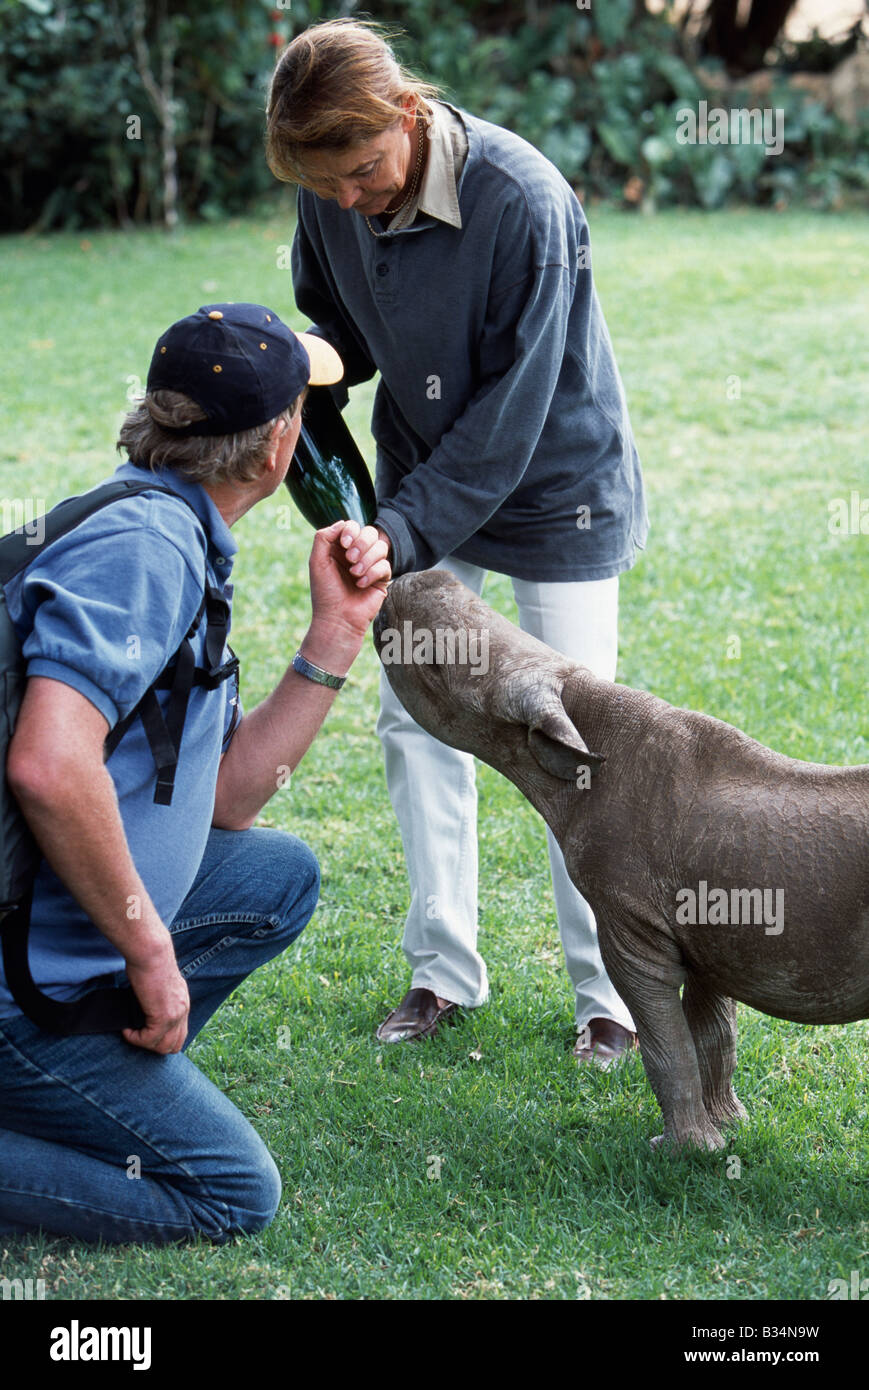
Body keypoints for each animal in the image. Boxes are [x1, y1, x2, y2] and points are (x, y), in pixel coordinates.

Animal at [375, 567, 867, 1150]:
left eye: (431, 666)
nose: (416, 573)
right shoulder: (708, 929)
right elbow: (713, 1033)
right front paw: (728, 1126)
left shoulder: (631, 920)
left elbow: (664, 1043)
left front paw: (684, 1151)